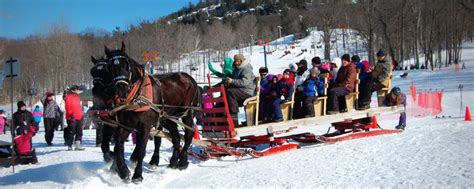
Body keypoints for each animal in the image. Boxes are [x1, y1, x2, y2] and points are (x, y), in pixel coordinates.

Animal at [104, 42, 201, 182]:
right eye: (110, 68)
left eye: (126, 65)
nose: (122, 90)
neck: (136, 96)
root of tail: (191, 79)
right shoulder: (125, 126)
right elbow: (118, 147)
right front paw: (123, 171)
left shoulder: (145, 127)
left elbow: (141, 150)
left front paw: (137, 175)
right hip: (169, 117)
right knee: (176, 137)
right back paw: (173, 162)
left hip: (187, 113)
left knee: (189, 134)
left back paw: (182, 161)